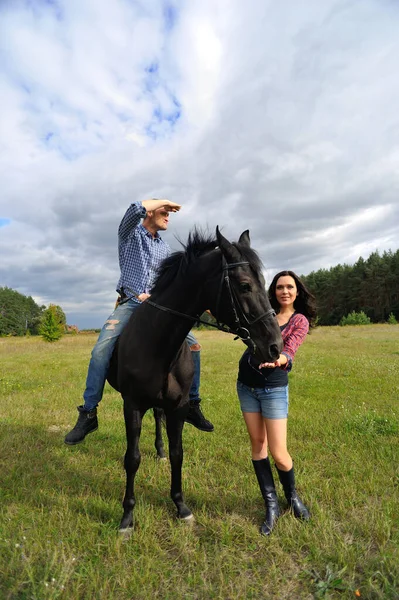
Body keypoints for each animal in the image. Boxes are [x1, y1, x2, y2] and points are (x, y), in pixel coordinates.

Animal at [105, 227, 282, 532]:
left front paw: (181, 506)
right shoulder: (132, 405)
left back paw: (160, 451)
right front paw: (127, 516)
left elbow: (178, 453)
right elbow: (132, 458)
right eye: (245, 285)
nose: (275, 346)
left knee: (159, 418)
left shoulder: (178, 406)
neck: (157, 343)